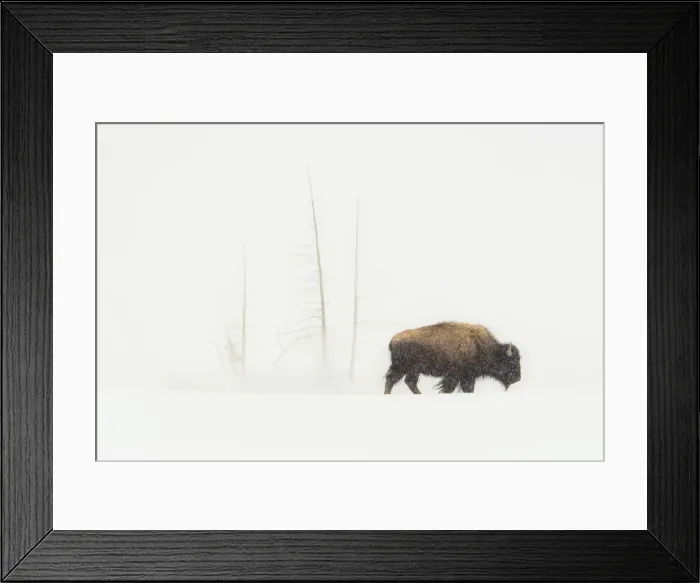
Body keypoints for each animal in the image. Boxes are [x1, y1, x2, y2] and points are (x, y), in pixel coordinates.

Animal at [384, 322, 521, 394]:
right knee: (391, 379)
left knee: (410, 382)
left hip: (413, 370)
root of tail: (393, 340)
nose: (518, 378)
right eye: (511, 362)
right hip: (401, 367)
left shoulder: (468, 377)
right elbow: (450, 389)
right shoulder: (456, 376)